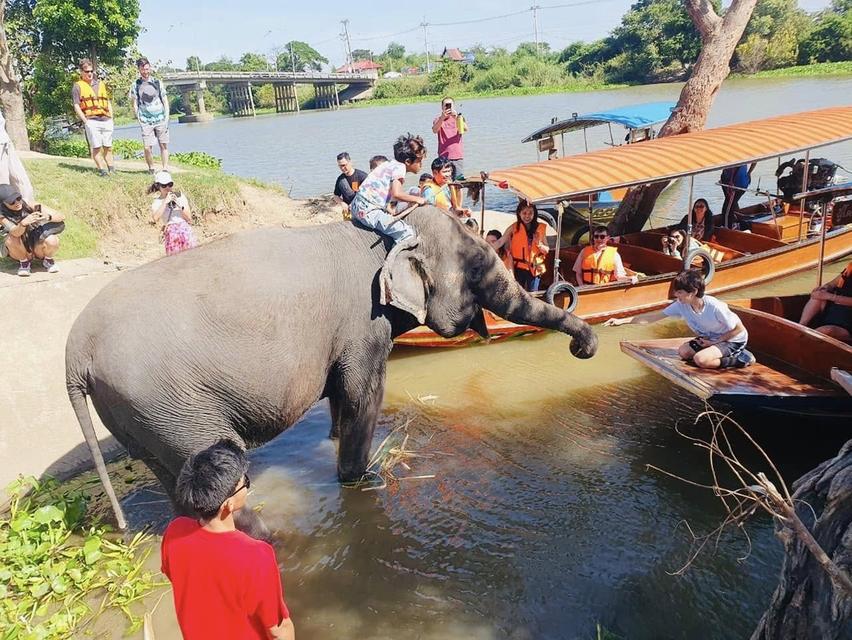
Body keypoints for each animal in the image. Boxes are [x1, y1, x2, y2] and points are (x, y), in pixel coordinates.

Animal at [66, 206, 596, 528]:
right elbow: (364, 393)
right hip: (169, 405)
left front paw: (337, 445)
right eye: (478, 269)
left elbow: (344, 396)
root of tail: (74, 354)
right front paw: (365, 479)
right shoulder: (364, 322)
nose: (584, 349)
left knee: (169, 474)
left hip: (141, 415)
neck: (386, 234)